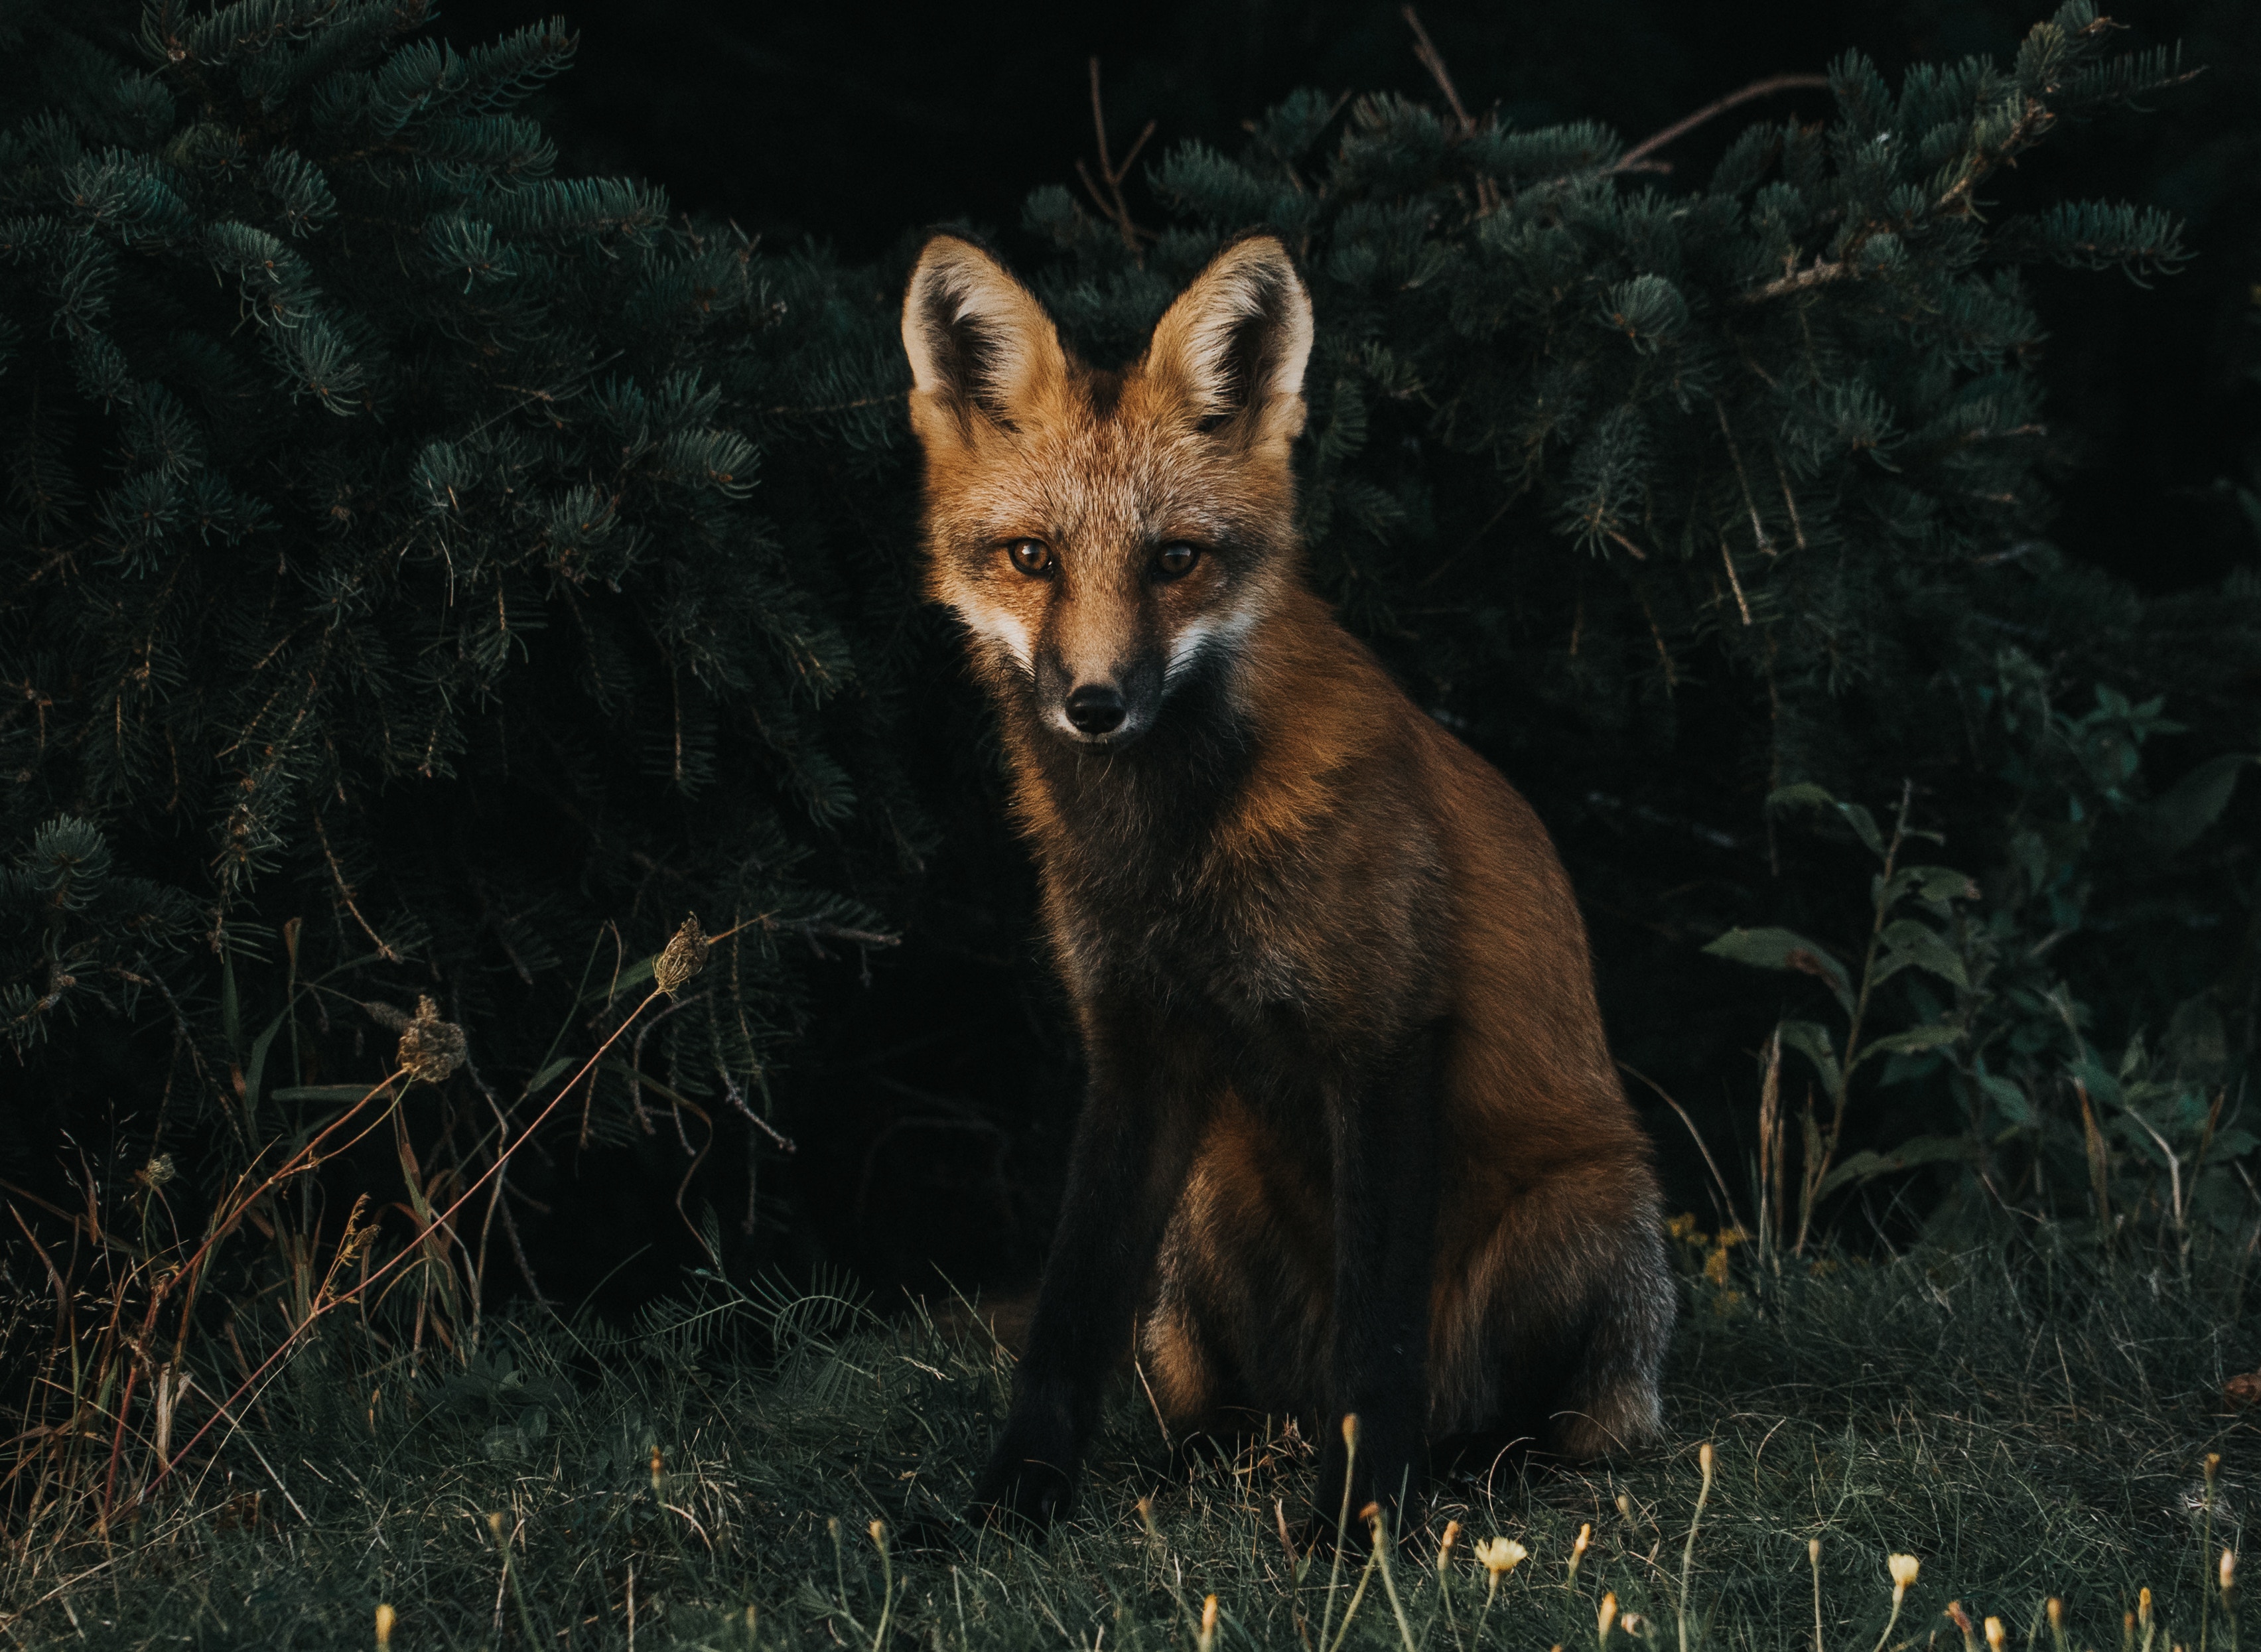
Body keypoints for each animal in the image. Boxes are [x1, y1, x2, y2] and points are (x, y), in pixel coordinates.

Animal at [890, 229, 1673, 1537]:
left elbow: (1378, 1341)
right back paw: (1209, 1455)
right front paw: (1012, 1503)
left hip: (1586, 1219)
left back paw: (1458, 1466)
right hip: (1208, 1202)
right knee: (1231, 1404)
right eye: (1031, 558)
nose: (1095, 705)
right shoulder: (1133, 1045)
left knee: (1533, 1424)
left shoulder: (1386, 1033)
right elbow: (1066, 1319)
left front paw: (1361, 1526)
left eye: (1176, 560)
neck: (1171, 852)